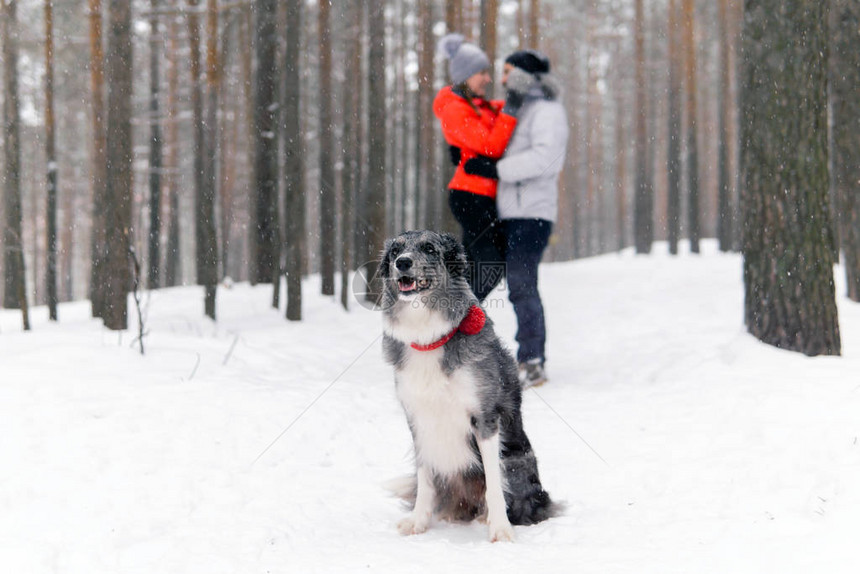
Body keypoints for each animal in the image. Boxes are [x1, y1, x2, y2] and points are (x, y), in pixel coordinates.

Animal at [382, 231, 556, 544]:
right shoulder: (417, 419)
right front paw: (418, 521)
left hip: (517, 461)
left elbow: (494, 482)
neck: (429, 337)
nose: (402, 263)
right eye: (395, 251)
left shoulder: (484, 417)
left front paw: (500, 528)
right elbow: (424, 478)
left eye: (429, 248)